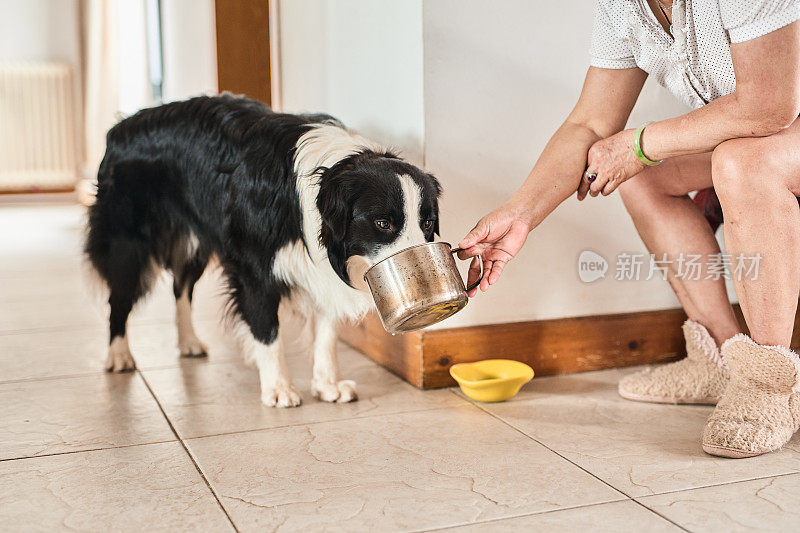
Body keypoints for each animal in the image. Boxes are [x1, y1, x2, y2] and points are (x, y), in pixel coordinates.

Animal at [86, 92, 444, 408]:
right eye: (383, 223)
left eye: (427, 223)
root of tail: (119, 128)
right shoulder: (254, 268)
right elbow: (267, 329)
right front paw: (279, 389)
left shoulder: (321, 271)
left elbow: (326, 331)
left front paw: (327, 384)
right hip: (127, 240)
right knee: (120, 295)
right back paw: (119, 355)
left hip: (196, 238)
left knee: (181, 286)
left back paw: (188, 342)